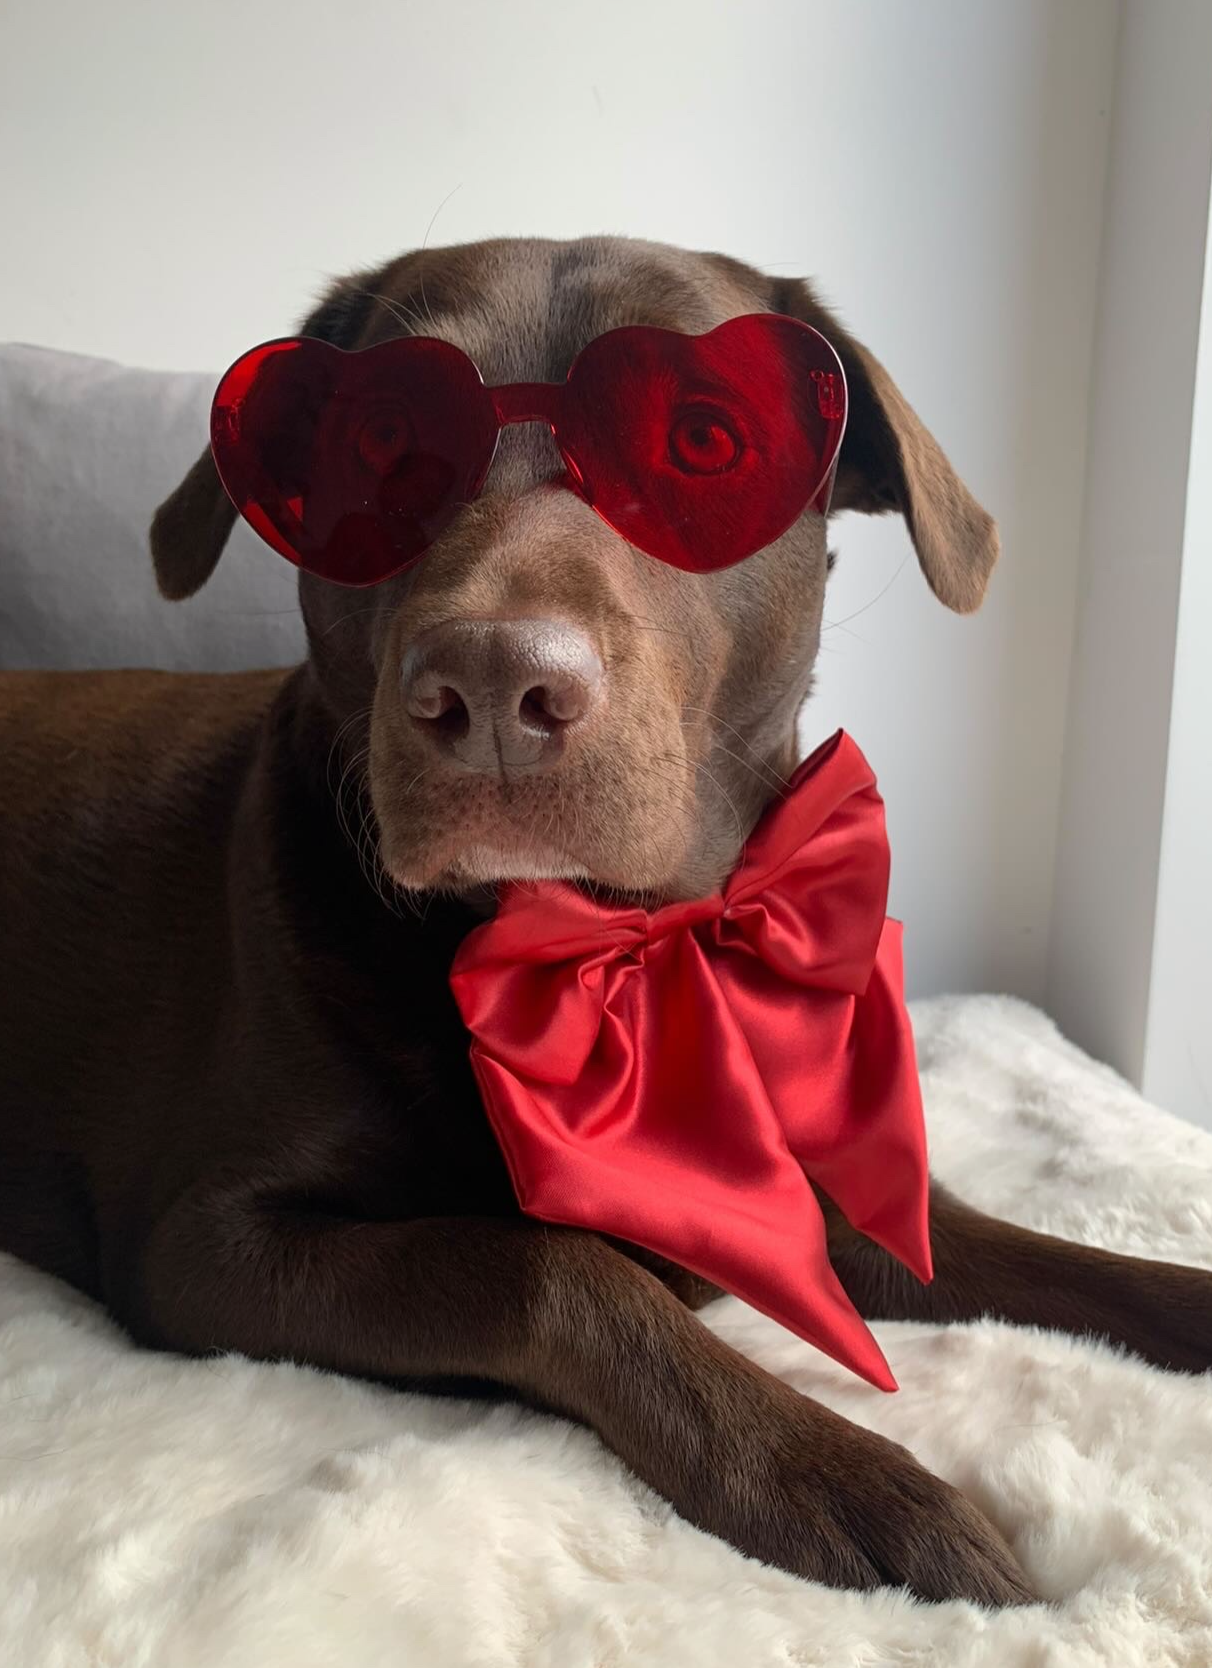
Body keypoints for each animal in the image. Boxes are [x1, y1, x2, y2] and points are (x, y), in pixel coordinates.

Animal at [2, 235, 1212, 1601]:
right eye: (379, 437)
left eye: (703, 439)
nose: (490, 687)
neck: (611, 956)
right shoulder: (205, 1244)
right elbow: (554, 1265)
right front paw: (839, 1476)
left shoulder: (838, 1205)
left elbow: (1079, 1270)